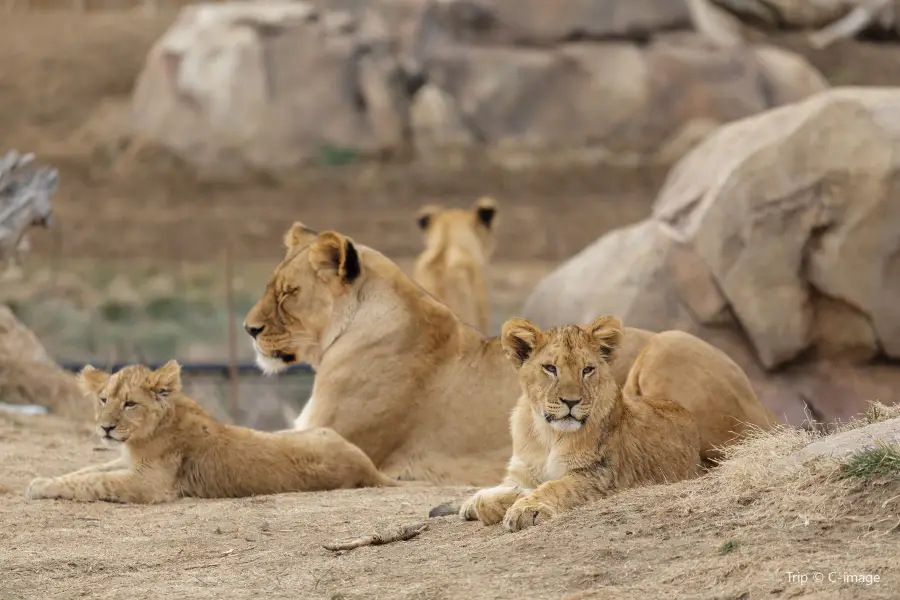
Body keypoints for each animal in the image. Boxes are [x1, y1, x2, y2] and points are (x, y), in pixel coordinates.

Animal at [244, 223, 780, 486]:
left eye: (288, 292)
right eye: (270, 285)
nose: (249, 329)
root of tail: (766, 409)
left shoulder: (344, 433)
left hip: (669, 344)